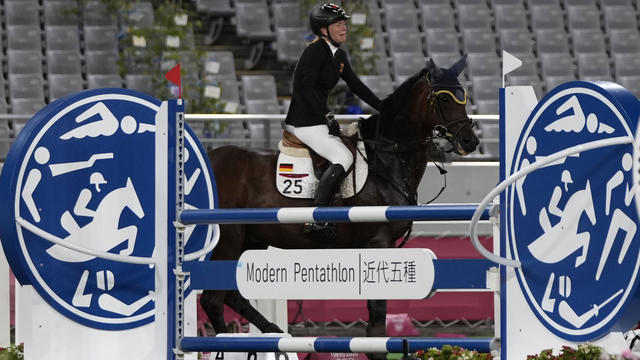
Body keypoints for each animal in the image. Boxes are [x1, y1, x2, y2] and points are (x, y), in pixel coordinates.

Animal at [200, 56, 480, 340]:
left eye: (464, 96)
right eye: (444, 99)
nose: (470, 141)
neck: (386, 159)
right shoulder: (377, 243)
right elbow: (377, 312)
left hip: (252, 240)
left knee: (231, 297)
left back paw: (272, 331)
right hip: (228, 241)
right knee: (212, 300)